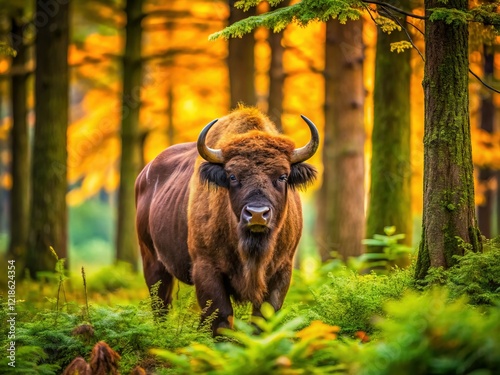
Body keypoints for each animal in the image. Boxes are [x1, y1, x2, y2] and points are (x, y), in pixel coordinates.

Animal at [135, 106, 318, 334]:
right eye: (232, 176)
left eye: (283, 176)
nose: (257, 214)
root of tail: (144, 175)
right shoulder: (206, 269)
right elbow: (221, 317)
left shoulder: (282, 270)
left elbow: (263, 318)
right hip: (152, 260)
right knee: (161, 304)